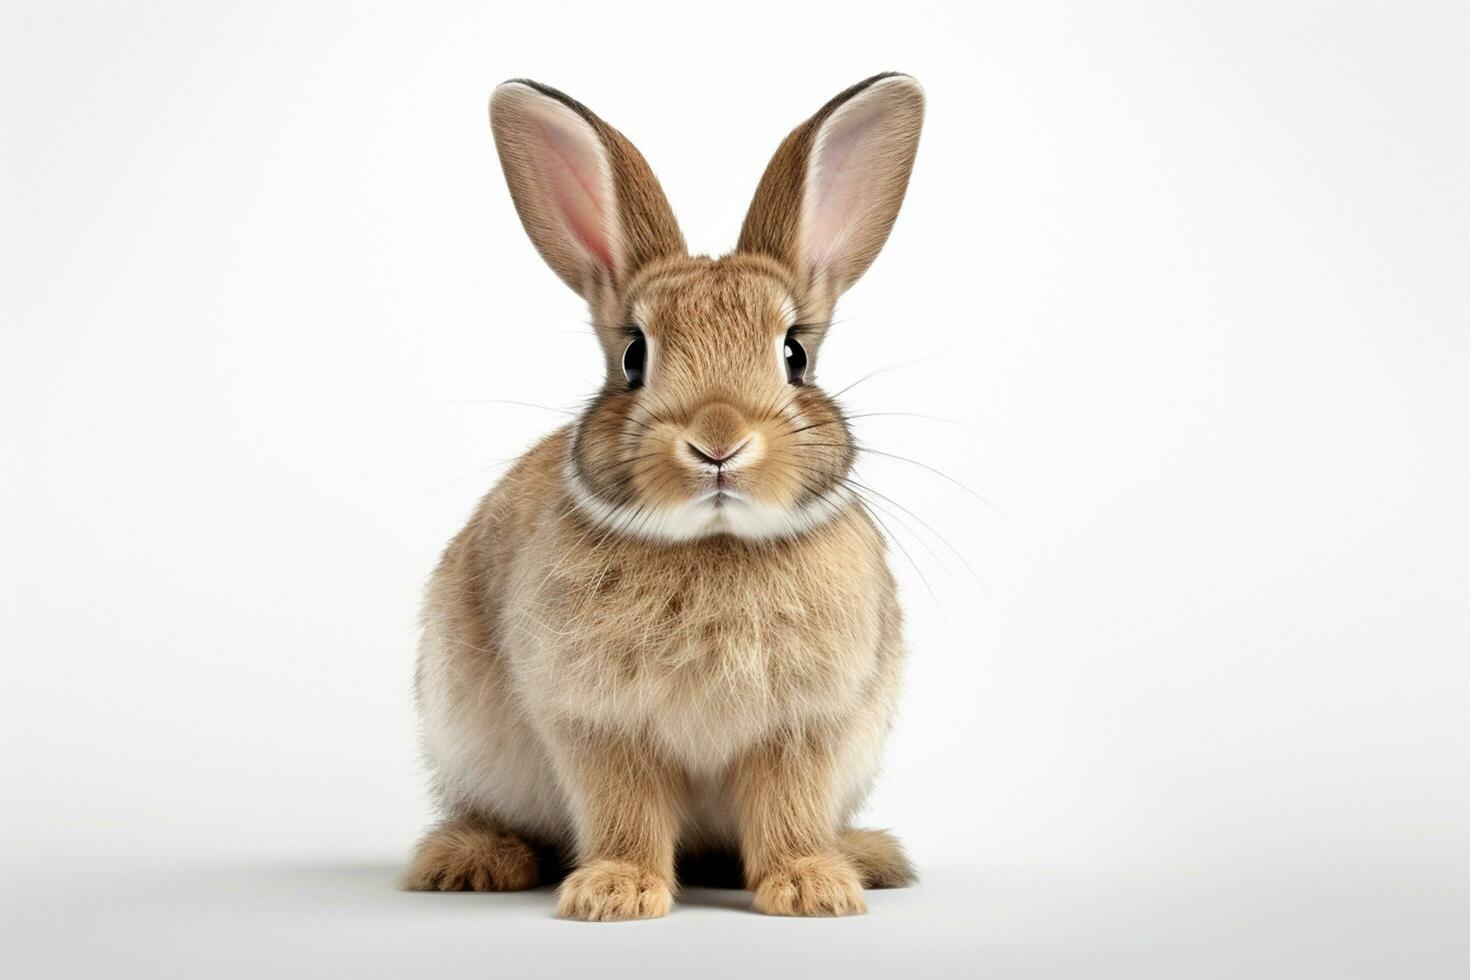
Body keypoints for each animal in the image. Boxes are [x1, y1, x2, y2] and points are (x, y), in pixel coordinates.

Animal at [402, 70, 923, 922]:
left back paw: (866, 855)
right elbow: (626, 808)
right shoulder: (601, 725)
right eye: (634, 357)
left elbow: (787, 808)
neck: (714, 543)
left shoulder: (803, 729)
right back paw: (469, 862)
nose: (718, 439)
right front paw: (616, 893)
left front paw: (809, 889)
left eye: (795, 354)